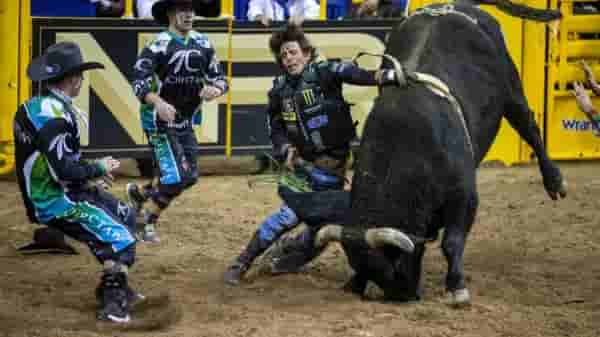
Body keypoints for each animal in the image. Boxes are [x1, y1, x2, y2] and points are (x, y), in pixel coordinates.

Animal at [278, 2, 564, 304]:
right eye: (368, 267)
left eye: (393, 260)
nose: (404, 295)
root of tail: (457, 7)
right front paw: (354, 283)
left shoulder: (464, 195)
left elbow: (452, 241)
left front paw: (457, 287)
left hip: (511, 88)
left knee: (529, 126)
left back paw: (554, 181)